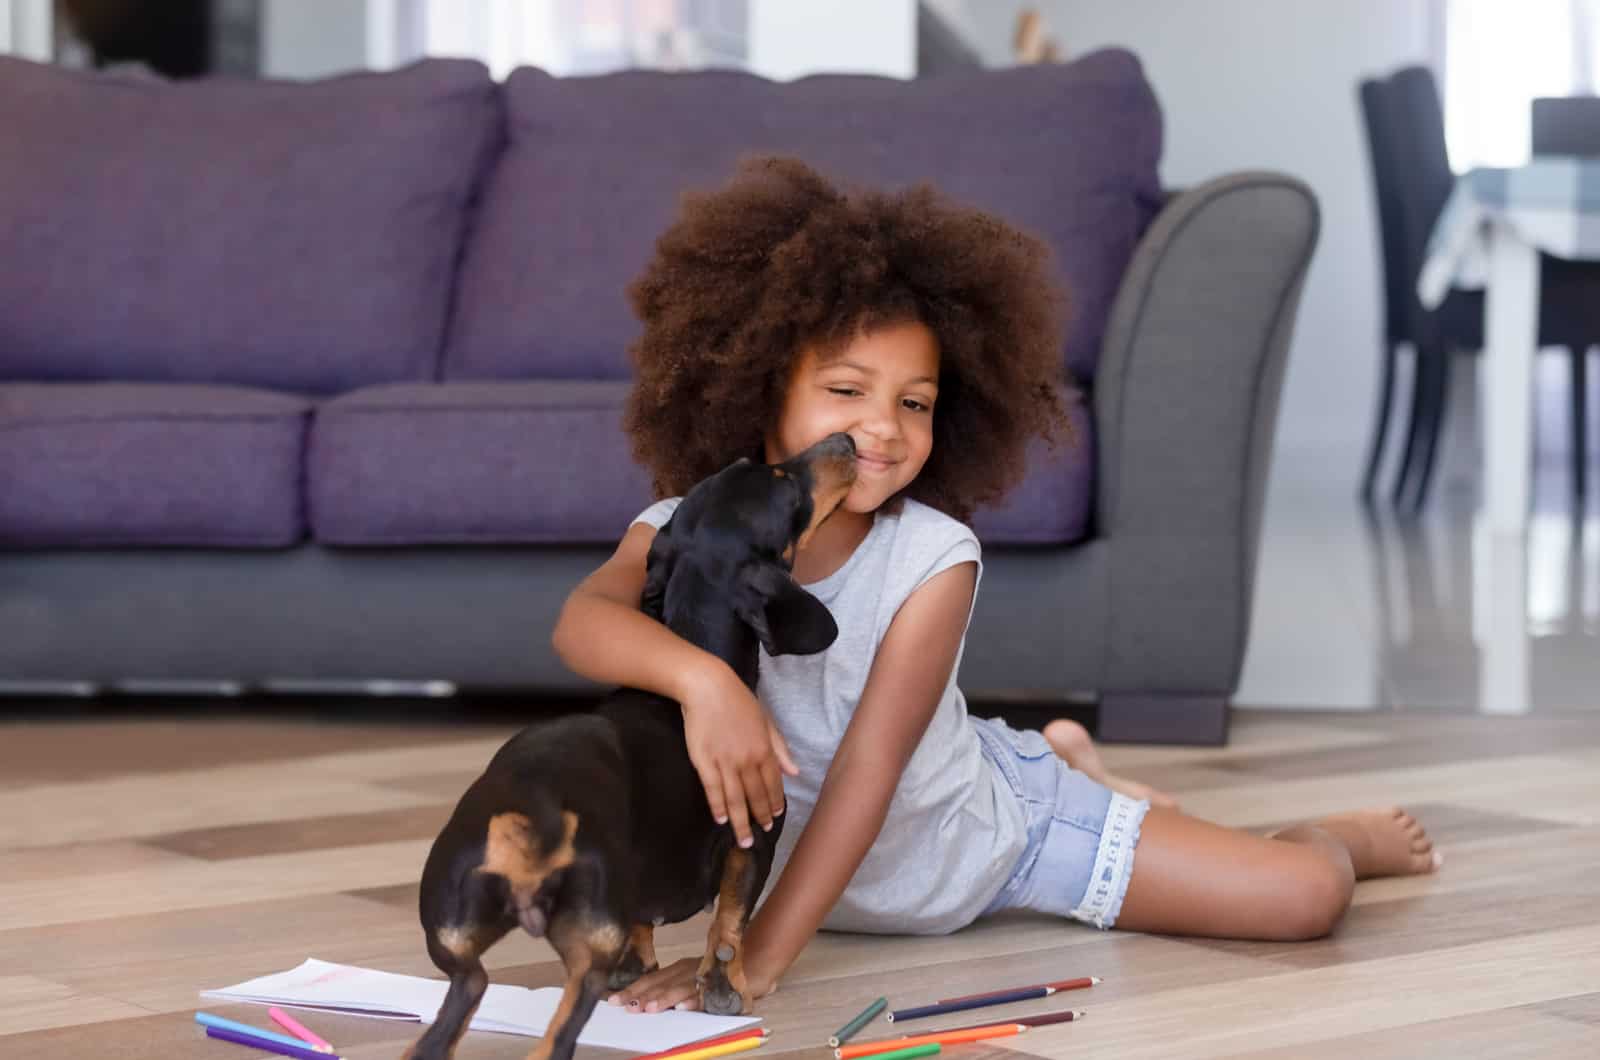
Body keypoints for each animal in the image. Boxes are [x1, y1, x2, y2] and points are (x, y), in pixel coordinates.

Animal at [406, 435, 857, 1060]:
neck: (695, 649)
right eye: (783, 481)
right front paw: (724, 990)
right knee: (558, 1028)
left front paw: (642, 969)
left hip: (453, 944)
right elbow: (729, 923)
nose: (848, 441)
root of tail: (529, 816)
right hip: (588, 942)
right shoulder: (757, 836)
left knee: (462, 997)